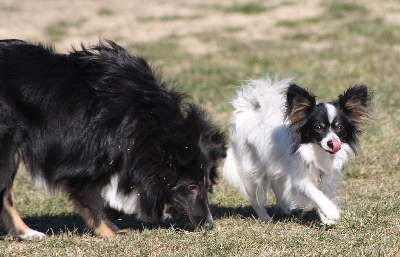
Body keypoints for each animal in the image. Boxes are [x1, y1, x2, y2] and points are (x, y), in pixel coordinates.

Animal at [0, 39, 227, 239]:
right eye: (192, 187)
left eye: (207, 185)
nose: (208, 224)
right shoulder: (83, 157)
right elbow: (91, 196)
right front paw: (113, 232)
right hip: (7, 142)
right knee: (5, 193)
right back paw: (27, 233)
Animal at [223, 75, 370, 223]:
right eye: (318, 128)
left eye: (339, 127)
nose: (331, 142)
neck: (317, 151)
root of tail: (249, 111)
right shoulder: (300, 179)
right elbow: (315, 193)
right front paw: (331, 211)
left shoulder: (326, 176)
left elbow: (324, 192)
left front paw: (325, 216)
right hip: (251, 169)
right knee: (254, 197)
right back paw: (265, 217)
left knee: (276, 183)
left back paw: (284, 207)